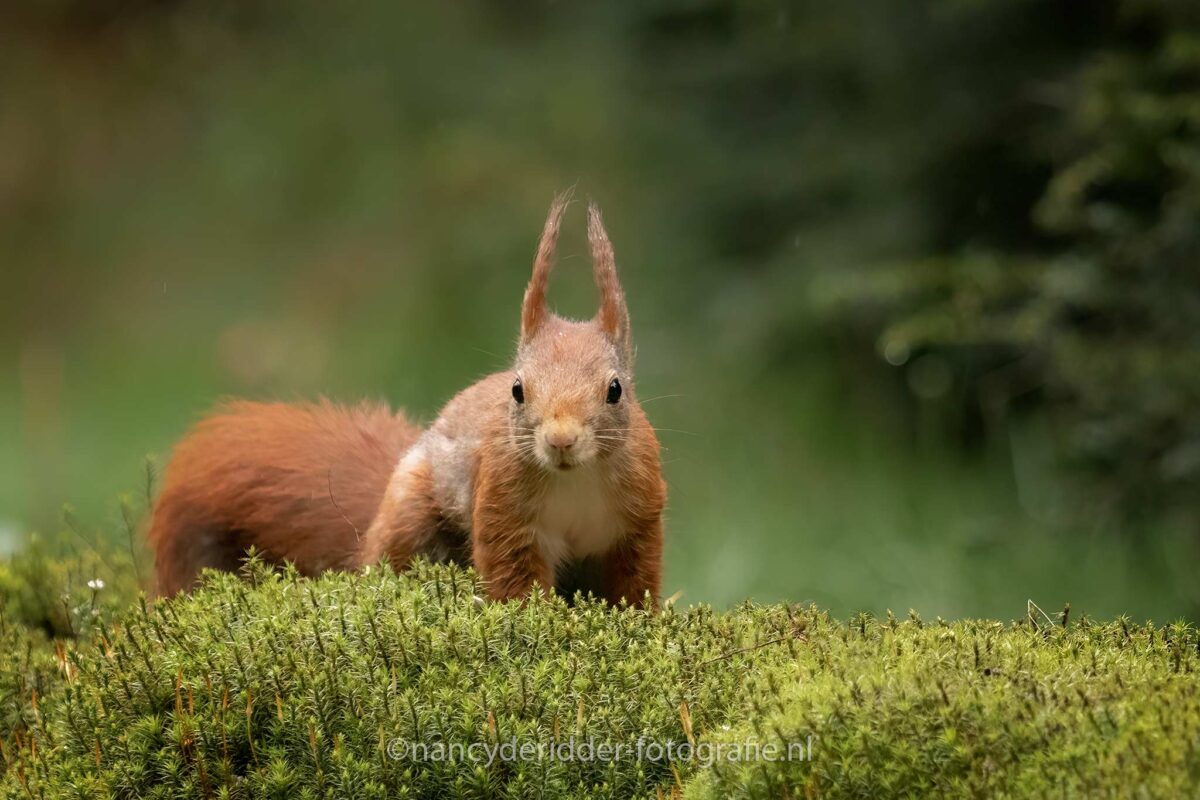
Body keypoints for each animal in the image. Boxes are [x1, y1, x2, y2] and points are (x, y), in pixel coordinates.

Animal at [148, 194, 666, 607]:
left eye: (615, 390)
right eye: (517, 390)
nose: (560, 440)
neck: (575, 479)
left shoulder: (638, 517)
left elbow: (634, 581)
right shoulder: (503, 508)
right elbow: (513, 576)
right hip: (410, 514)